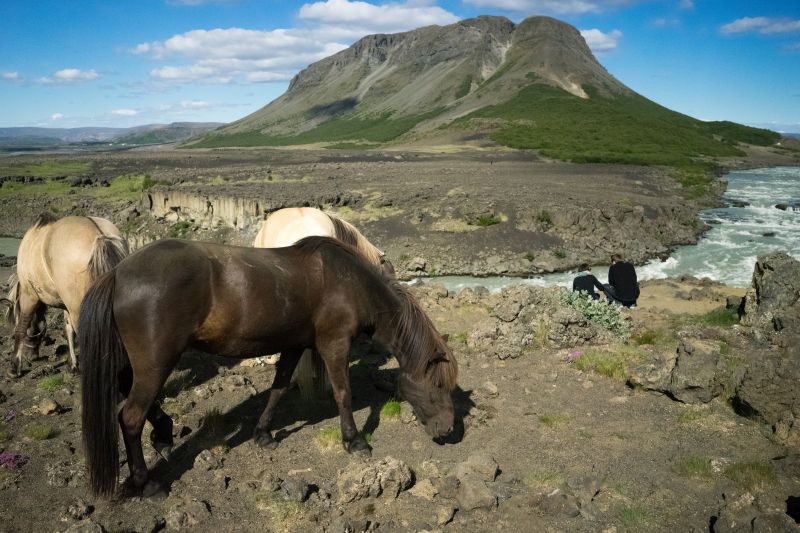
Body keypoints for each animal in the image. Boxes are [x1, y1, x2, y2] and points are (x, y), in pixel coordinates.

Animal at [2, 212, 128, 374]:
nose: (33, 356)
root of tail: (99, 236)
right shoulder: (66, 305)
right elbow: (68, 330)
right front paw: (72, 364)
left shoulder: (29, 295)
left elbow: (22, 327)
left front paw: (14, 366)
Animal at [81, 236, 460, 494]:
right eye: (439, 385)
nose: (447, 430)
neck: (350, 283)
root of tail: (118, 273)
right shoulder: (334, 345)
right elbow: (343, 395)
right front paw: (355, 442)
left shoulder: (294, 346)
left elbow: (278, 391)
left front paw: (262, 434)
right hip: (157, 362)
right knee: (130, 416)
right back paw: (147, 483)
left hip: (136, 362)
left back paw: (162, 433)